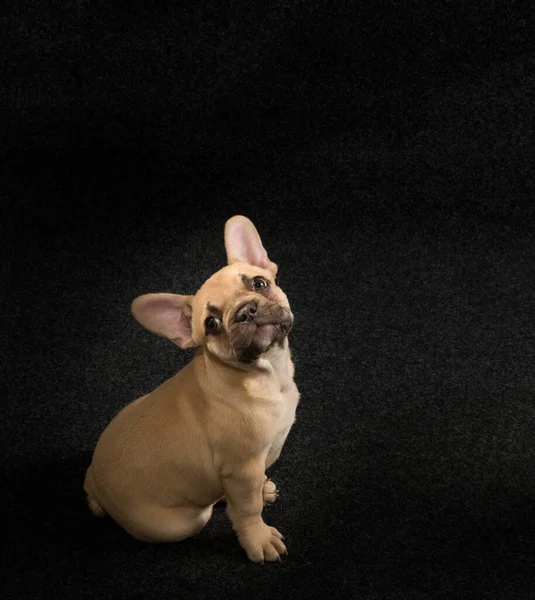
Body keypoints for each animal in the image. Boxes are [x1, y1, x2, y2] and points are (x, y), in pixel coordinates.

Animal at [84, 216, 302, 564]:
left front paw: (261, 491)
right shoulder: (241, 469)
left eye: (259, 283)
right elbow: (248, 510)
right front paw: (257, 539)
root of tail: (92, 481)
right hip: (185, 521)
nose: (246, 311)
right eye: (211, 324)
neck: (263, 375)